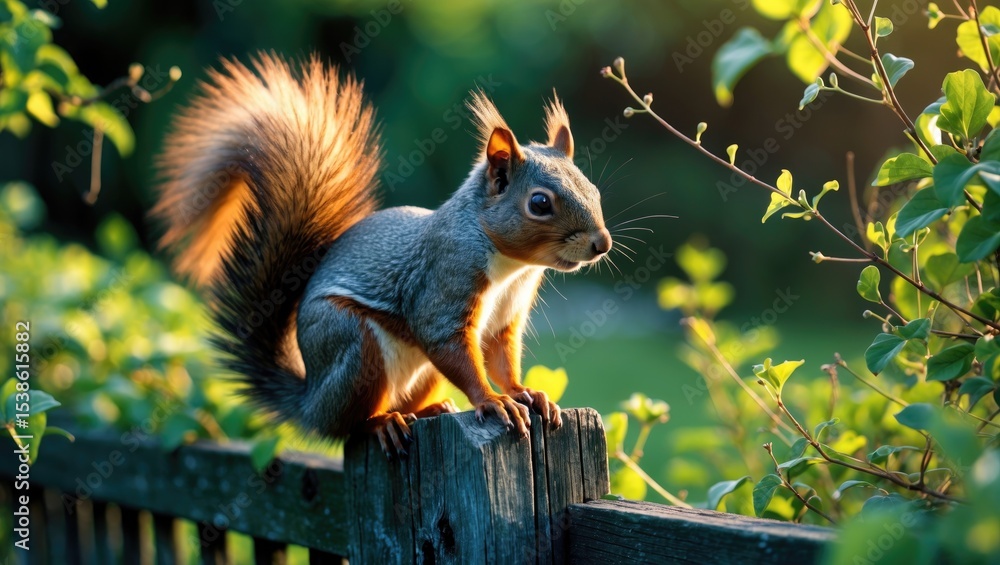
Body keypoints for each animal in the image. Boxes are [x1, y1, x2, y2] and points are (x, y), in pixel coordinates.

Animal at [153, 53, 612, 457]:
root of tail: (310, 403)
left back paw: (430, 409)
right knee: (350, 426)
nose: (601, 243)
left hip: (419, 372)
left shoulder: (505, 317)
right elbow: (451, 346)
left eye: (593, 188)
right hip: (353, 348)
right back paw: (383, 423)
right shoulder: (443, 283)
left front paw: (524, 393)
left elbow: (501, 357)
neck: (511, 266)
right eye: (539, 203)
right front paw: (492, 401)